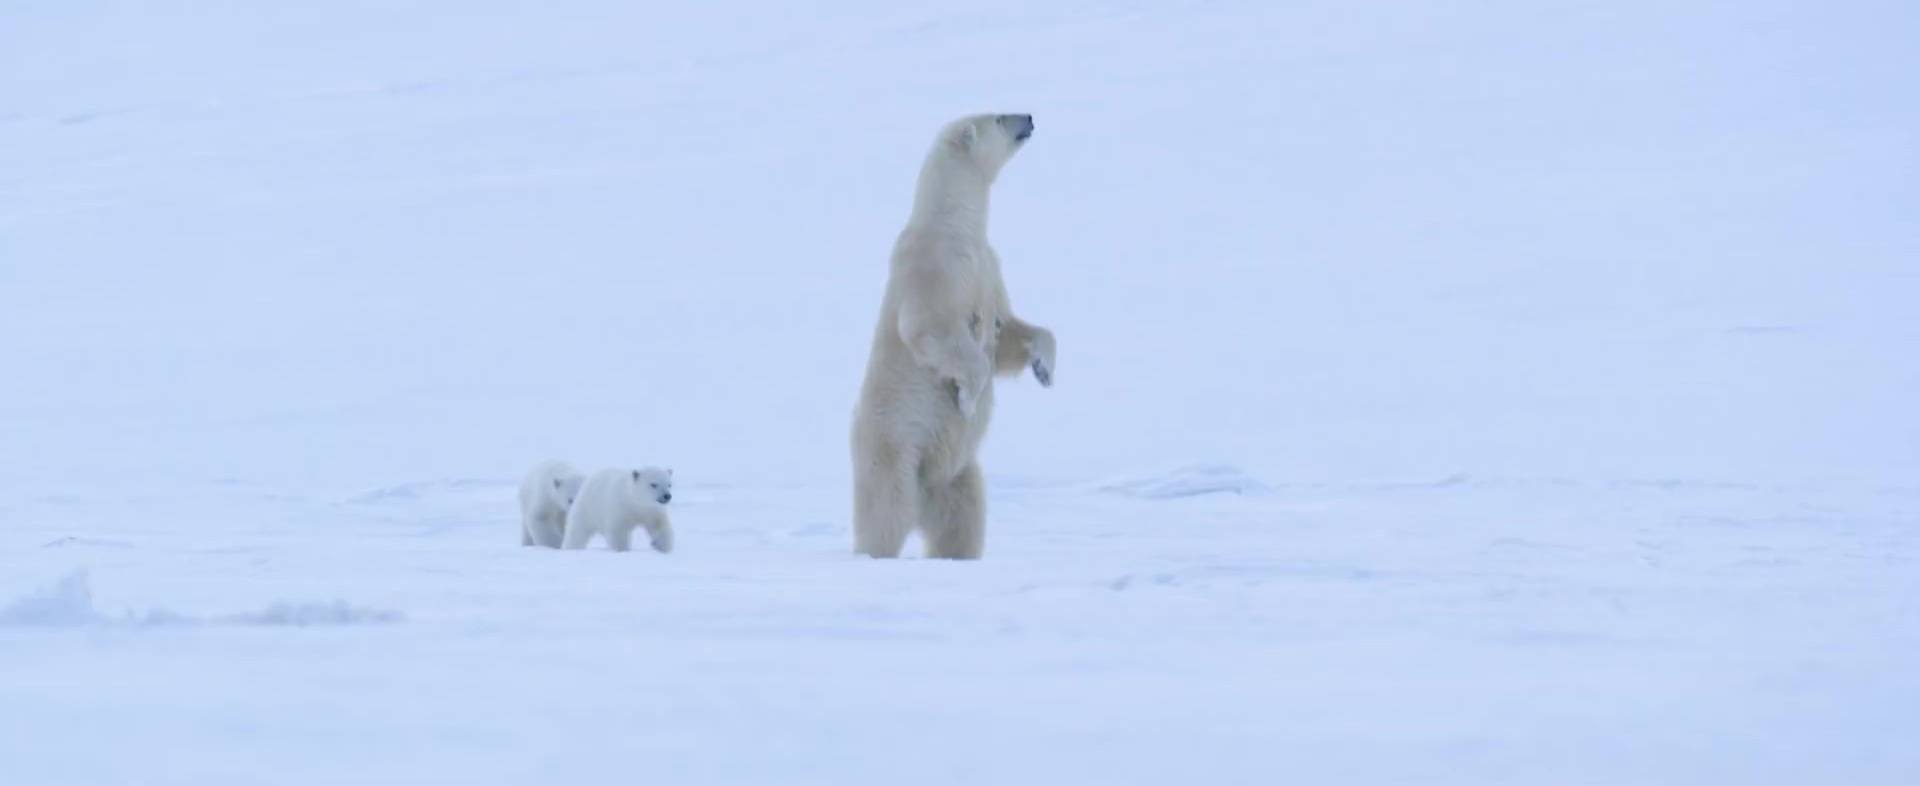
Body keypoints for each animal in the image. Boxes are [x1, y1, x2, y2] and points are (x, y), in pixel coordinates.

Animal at [849, 113, 1055, 560]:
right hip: (895, 446)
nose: (1030, 117)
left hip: (957, 473)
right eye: (1000, 116)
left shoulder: (987, 265)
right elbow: (930, 328)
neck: (955, 223)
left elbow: (1006, 334)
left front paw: (1044, 367)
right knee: (886, 511)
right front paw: (965, 397)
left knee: (962, 519)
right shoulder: (935, 263)